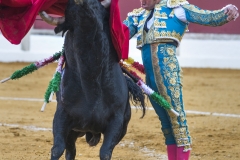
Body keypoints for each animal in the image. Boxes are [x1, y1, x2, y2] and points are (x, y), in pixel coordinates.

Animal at [51, 0, 146, 159]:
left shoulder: (116, 122)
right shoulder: (61, 115)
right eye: (71, 14)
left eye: (99, 10)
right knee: (70, 151)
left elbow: (105, 152)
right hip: (74, 131)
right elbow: (57, 149)